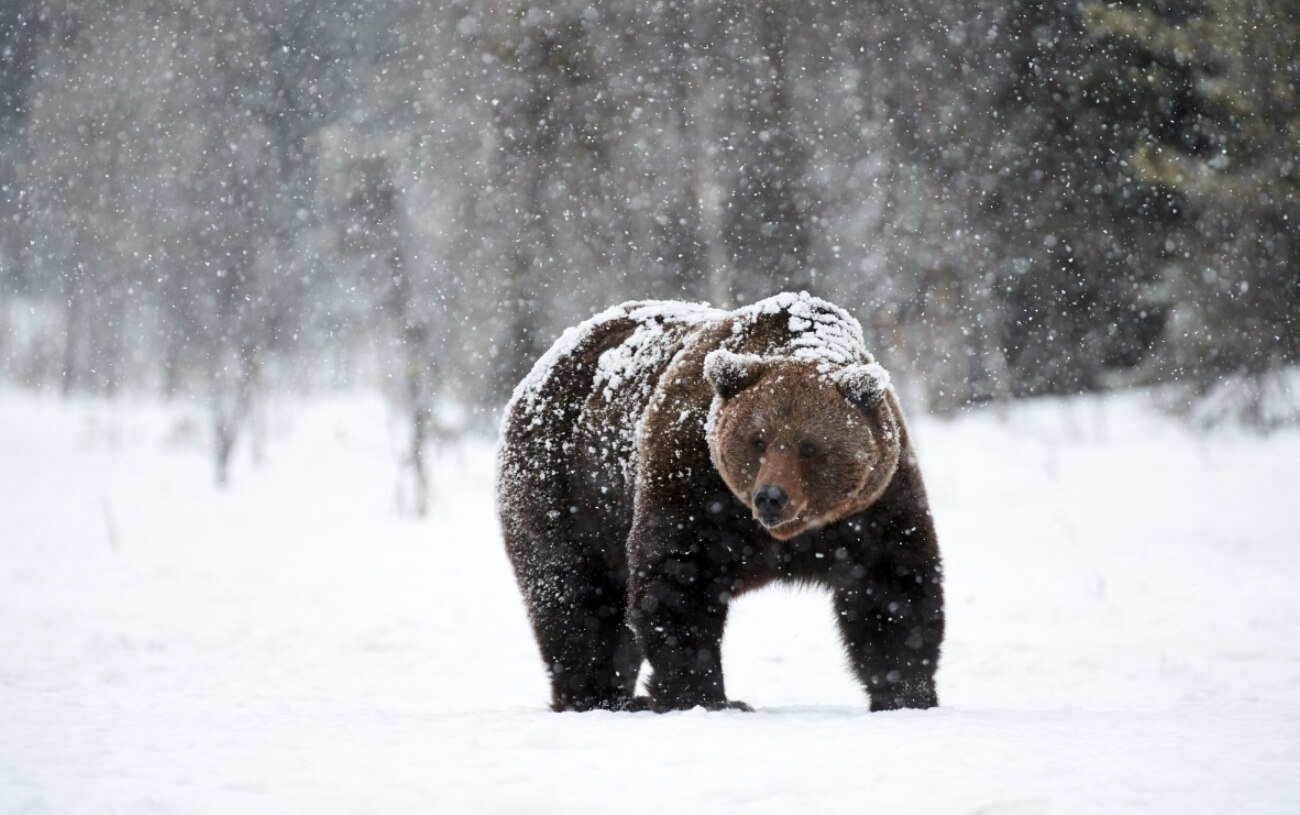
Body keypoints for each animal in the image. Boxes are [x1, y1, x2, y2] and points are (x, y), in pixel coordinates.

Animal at [496, 293, 946, 712]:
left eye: (810, 446)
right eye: (759, 440)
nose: (771, 497)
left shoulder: (873, 504)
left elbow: (893, 588)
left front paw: (907, 693)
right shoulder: (692, 479)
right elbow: (677, 581)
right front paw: (705, 697)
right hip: (566, 486)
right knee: (576, 599)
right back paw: (598, 696)